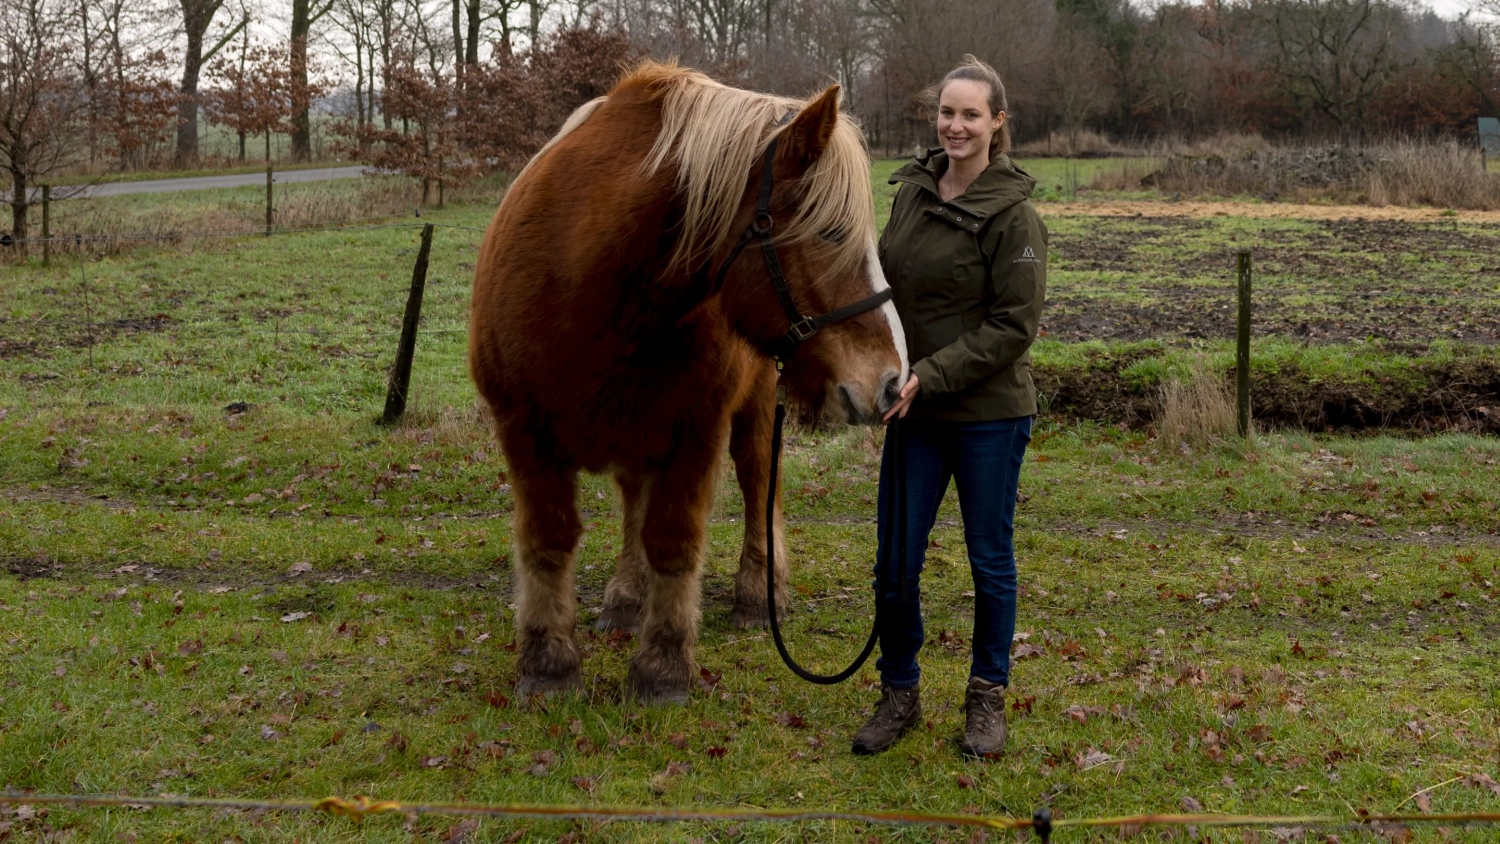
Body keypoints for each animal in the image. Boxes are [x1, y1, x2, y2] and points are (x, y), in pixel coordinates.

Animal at [468, 62, 906, 704]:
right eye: (830, 232)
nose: (894, 381)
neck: (586, 280)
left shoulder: (696, 429)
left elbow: (673, 540)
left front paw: (663, 665)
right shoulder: (523, 429)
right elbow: (549, 538)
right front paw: (548, 662)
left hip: (750, 410)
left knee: (757, 483)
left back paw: (757, 593)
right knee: (634, 501)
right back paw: (627, 596)